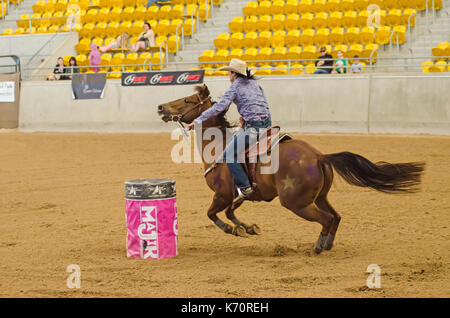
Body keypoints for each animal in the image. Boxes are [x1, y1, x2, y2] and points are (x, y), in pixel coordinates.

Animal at [158, 84, 426, 253]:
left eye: (187, 100)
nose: (161, 107)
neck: (218, 147)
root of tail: (319, 157)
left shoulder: (222, 194)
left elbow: (213, 214)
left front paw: (234, 230)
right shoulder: (238, 195)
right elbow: (231, 211)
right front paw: (248, 228)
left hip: (296, 203)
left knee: (327, 219)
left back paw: (318, 248)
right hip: (319, 197)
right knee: (336, 216)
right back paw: (327, 245)